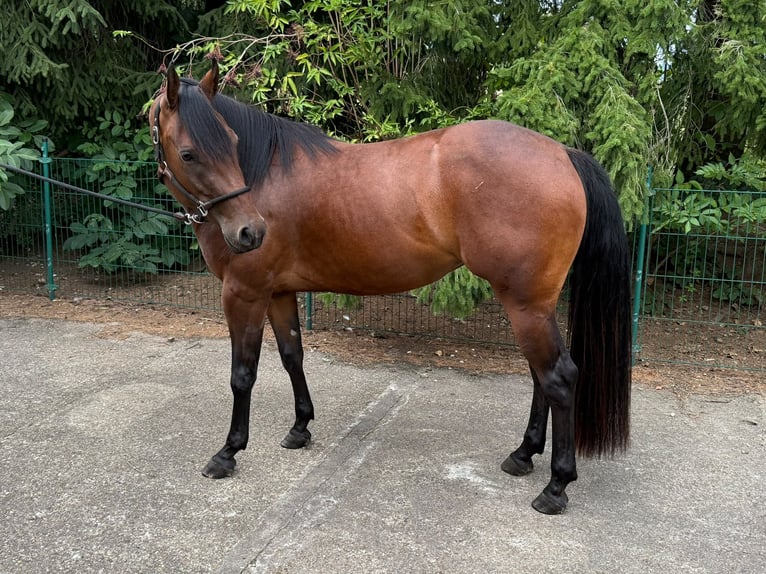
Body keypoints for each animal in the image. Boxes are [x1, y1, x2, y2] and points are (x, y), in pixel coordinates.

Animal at [149, 60, 632, 515]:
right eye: (190, 153)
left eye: (230, 144)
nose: (250, 233)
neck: (265, 173)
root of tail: (562, 153)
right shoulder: (279, 293)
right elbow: (291, 357)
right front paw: (300, 428)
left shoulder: (244, 293)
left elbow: (242, 374)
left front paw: (228, 452)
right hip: (532, 305)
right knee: (539, 377)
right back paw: (523, 454)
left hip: (526, 305)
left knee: (558, 378)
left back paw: (556, 487)